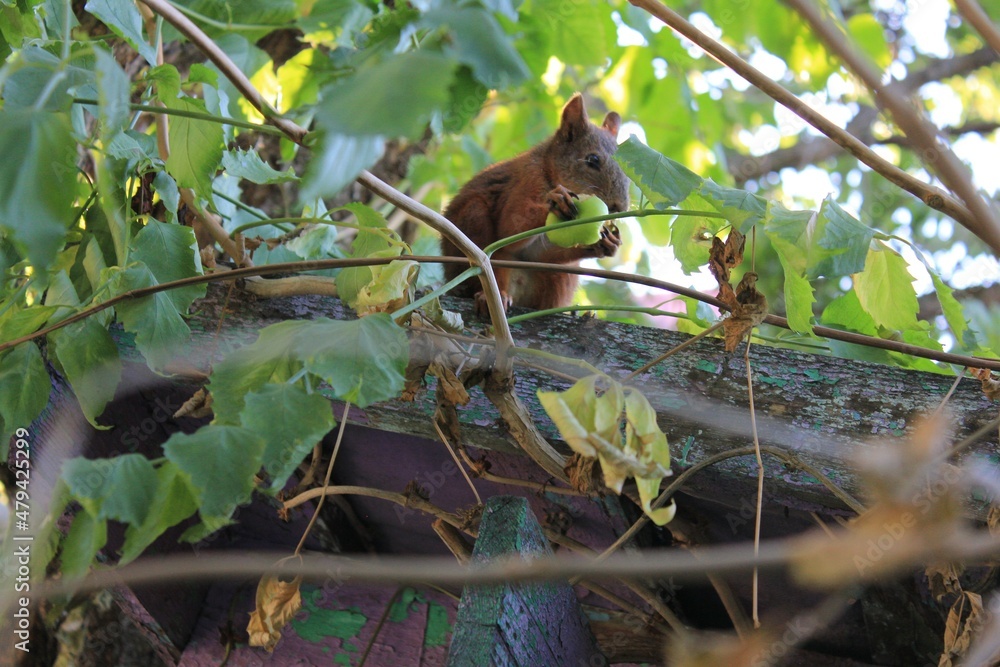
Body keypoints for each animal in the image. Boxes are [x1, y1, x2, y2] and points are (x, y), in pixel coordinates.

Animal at [440, 93, 630, 313]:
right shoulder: (526, 180)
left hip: (561, 277)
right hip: (474, 222)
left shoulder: (541, 255)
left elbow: (538, 256)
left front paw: (605, 243)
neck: (548, 170)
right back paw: (491, 297)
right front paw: (557, 201)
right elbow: (510, 225)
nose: (619, 207)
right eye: (592, 160)